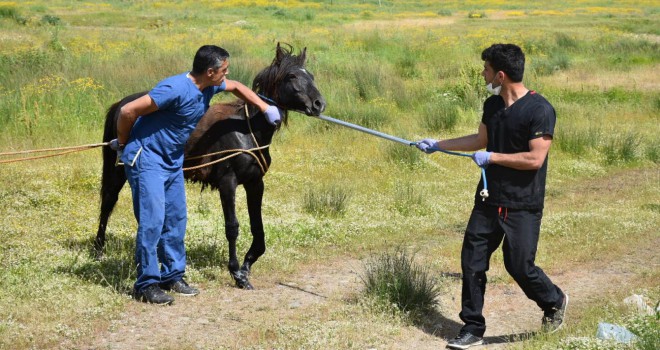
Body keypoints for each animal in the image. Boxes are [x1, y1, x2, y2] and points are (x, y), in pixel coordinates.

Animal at [94, 43, 326, 288]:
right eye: (292, 76)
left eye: (310, 76)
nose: (319, 104)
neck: (246, 129)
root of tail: (121, 104)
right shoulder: (227, 182)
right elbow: (232, 227)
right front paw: (236, 272)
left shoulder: (255, 183)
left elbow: (258, 228)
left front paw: (247, 266)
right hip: (118, 171)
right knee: (108, 203)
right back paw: (99, 250)